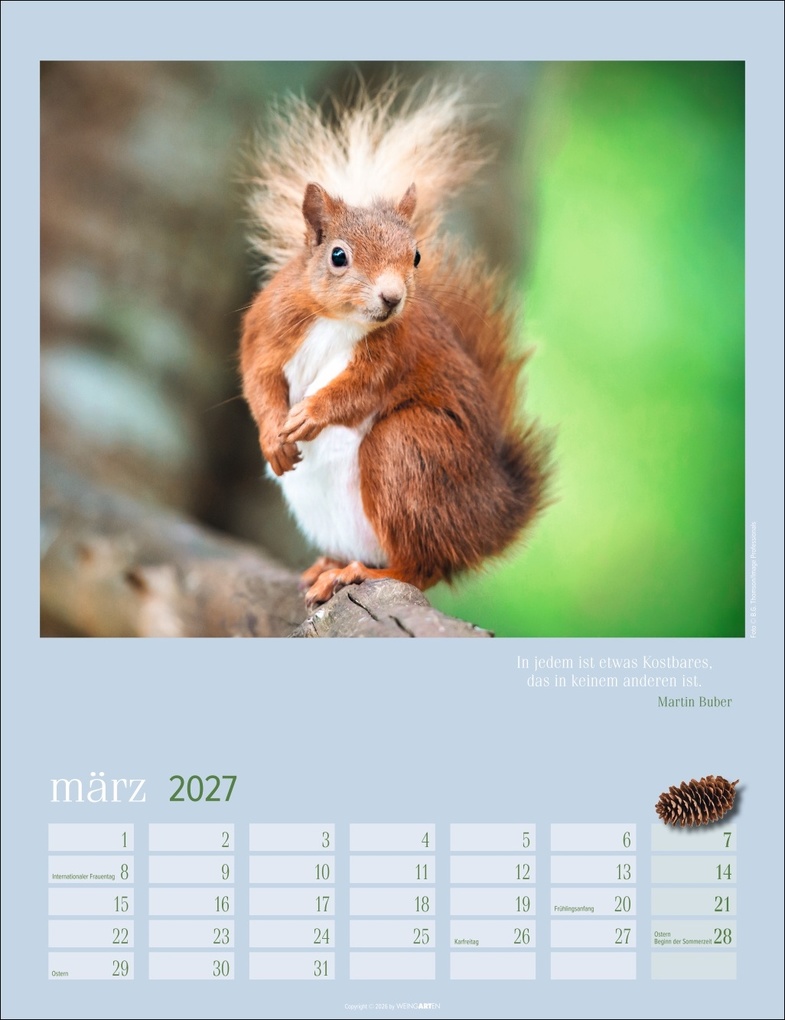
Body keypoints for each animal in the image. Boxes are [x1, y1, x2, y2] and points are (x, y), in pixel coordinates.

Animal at [240, 80, 550, 608]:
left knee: (420, 567)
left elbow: (359, 390)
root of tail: (490, 517)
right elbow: (257, 377)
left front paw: (310, 414)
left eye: (417, 256)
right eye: (338, 256)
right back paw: (330, 565)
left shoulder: (394, 354)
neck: (338, 322)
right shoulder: (269, 327)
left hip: (406, 452)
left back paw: (360, 574)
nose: (392, 297)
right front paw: (273, 436)